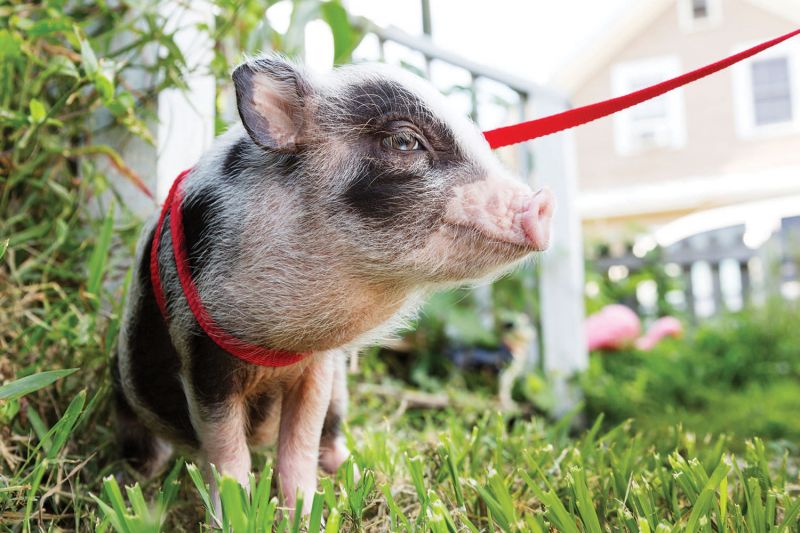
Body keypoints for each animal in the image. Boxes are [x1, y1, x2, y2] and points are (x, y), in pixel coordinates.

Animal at [112, 54, 554, 514]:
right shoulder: (201, 349)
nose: (543, 202)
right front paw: (233, 515)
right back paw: (135, 478)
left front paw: (306, 512)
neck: (277, 347)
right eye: (403, 141)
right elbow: (226, 453)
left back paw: (362, 474)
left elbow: (301, 442)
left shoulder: (320, 366)